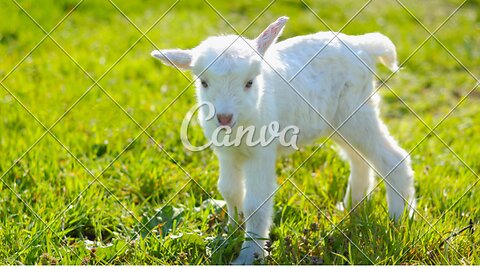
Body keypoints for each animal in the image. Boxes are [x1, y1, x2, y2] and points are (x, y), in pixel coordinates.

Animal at [152, 16, 414, 264]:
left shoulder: (261, 153)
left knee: (392, 158)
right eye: (204, 83)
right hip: (339, 121)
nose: (224, 118)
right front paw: (231, 232)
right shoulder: (226, 153)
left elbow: (256, 203)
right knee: (359, 159)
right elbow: (229, 190)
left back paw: (399, 220)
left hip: (356, 111)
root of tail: (364, 45)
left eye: (249, 83)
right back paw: (353, 207)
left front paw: (249, 256)